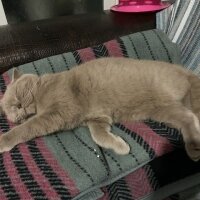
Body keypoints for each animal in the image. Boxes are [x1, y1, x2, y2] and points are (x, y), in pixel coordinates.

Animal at [0, 57, 200, 160]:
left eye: (17, 95)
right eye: (12, 112)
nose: (18, 109)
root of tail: (185, 71)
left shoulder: (59, 111)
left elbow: (27, 127)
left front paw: (3, 140)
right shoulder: (97, 119)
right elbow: (99, 135)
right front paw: (120, 146)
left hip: (162, 101)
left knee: (190, 118)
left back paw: (194, 149)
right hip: (161, 109)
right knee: (188, 117)